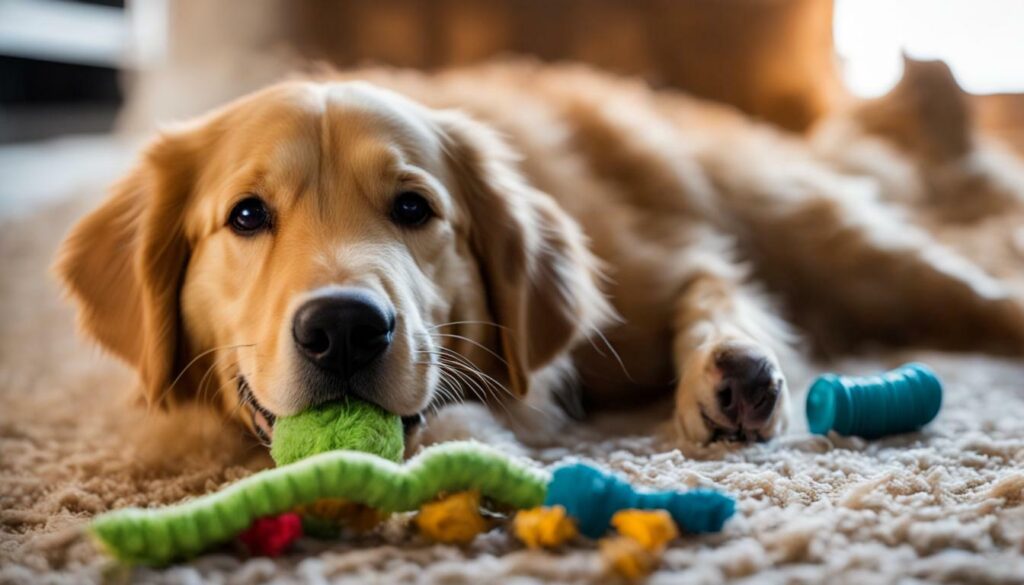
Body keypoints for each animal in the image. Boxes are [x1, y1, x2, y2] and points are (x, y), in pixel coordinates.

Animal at [56, 63, 1024, 444]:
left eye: (413, 208)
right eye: (248, 215)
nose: (344, 329)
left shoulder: (660, 251)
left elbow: (714, 284)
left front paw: (730, 364)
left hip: (820, 228)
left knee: (961, 286)